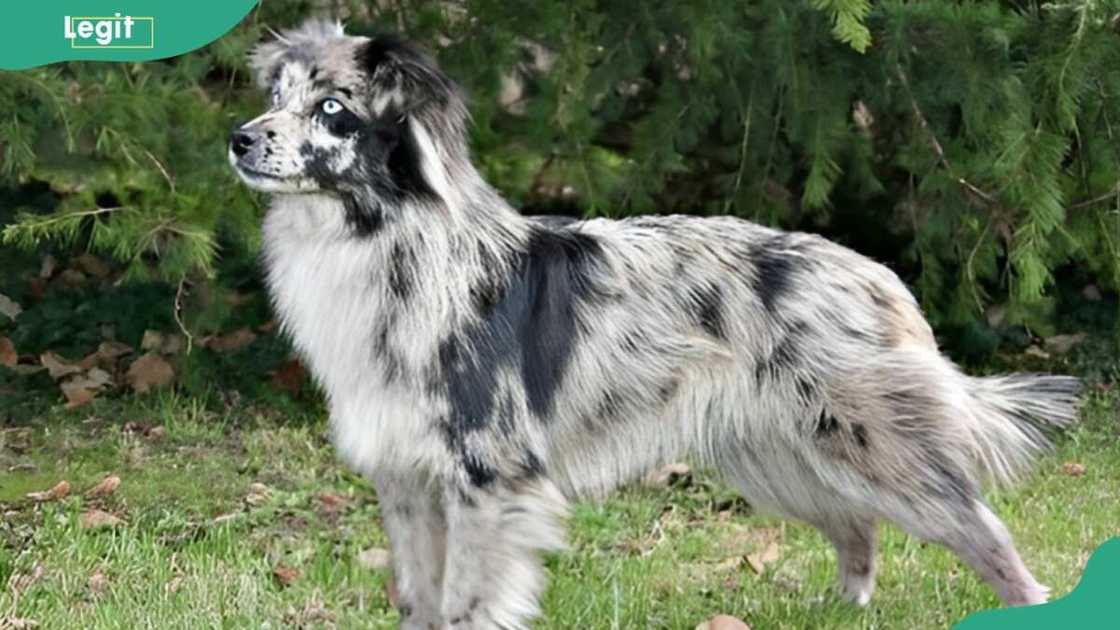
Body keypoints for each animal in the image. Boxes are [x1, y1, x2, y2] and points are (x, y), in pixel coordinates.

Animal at [231, 19, 1079, 627]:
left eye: (332, 109)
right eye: (277, 95)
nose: (239, 138)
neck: (384, 244)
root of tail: (881, 277)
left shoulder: (487, 477)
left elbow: (469, 603)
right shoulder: (406, 478)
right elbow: (420, 600)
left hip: (872, 444)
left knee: (982, 531)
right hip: (778, 456)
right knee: (857, 529)